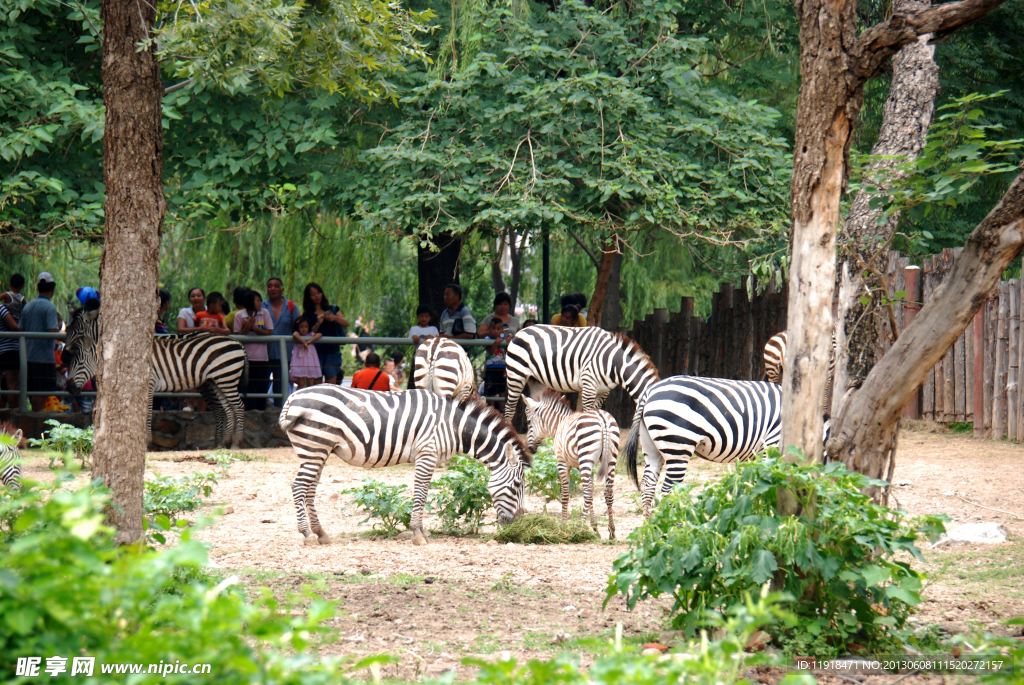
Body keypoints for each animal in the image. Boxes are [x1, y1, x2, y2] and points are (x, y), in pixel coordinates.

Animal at [62, 305, 248, 446]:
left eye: (79, 363)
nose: (69, 388)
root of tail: (237, 342)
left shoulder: (149, 383)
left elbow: (148, 412)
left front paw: (147, 442)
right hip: (217, 381)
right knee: (227, 408)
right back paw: (223, 442)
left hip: (226, 378)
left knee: (238, 406)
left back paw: (236, 442)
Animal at [276, 384, 532, 544]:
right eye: (517, 485)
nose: (517, 524)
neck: (453, 427)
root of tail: (292, 397)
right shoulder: (427, 453)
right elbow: (421, 492)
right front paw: (418, 534)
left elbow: (423, 494)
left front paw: (421, 531)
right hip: (314, 446)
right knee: (298, 487)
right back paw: (307, 535)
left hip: (319, 450)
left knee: (309, 489)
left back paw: (321, 533)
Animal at [501, 325, 659, 421]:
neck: (613, 362)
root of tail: (521, 331)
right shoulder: (589, 386)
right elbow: (589, 414)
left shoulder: (603, 391)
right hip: (516, 375)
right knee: (509, 408)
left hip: (536, 381)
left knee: (533, 407)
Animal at [524, 389, 618, 540]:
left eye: (528, 422)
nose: (529, 448)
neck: (558, 425)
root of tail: (601, 417)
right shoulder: (582, 466)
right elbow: (591, 492)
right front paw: (595, 528)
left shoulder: (562, 462)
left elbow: (565, 494)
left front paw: (563, 524)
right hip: (610, 460)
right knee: (607, 491)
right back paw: (612, 531)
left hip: (586, 455)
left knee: (587, 491)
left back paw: (578, 528)